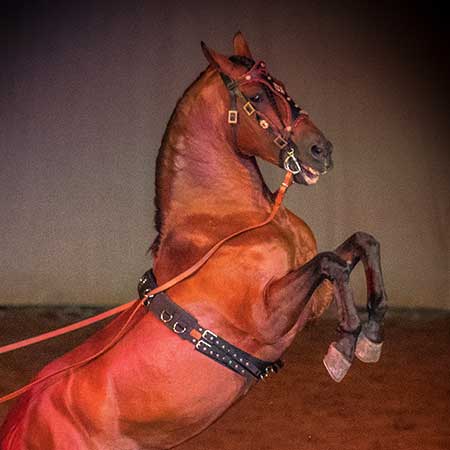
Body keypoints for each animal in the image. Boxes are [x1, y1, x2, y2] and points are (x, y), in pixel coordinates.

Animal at [0, 32, 386, 450]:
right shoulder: (268, 318)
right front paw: (344, 349)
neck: (227, 226)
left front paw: (371, 336)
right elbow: (332, 263)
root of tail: (25, 416)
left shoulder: (312, 302)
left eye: (283, 88)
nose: (321, 150)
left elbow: (359, 246)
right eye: (257, 96)